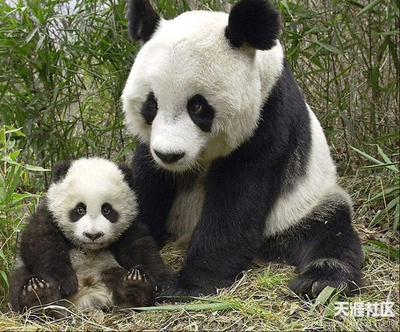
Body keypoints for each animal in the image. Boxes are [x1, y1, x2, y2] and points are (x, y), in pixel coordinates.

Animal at [9, 157, 172, 312]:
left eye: (107, 210)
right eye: (80, 210)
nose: (93, 235)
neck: (87, 248)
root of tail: (87, 299)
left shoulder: (130, 227)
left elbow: (141, 248)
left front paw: (161, 284)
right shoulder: (48, 215)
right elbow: (40, 244)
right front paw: (64, 283)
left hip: (109, 271)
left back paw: (135, 287)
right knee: (20, 280)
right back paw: (38, 295)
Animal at [121, 0, 362, 298]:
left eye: (197, 106)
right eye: (151, 105)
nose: (170, 155)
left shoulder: (268, 118)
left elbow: (237, 200)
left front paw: (190, 286)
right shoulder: (151, 148)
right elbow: (147, 181)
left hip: (304, 205)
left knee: (330, 232)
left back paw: (321, 281)